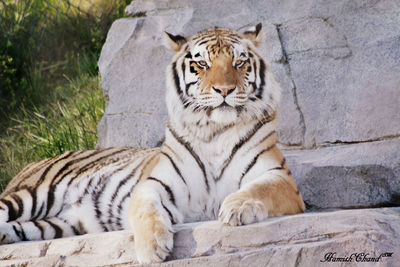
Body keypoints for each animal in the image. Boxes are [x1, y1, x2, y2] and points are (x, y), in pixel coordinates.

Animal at [0, 24, 304, 264]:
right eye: (202, 64)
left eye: (239, 63)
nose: (225, 90)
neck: (215, 132)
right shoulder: (156, 183)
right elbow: (145, 208)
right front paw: (152, 248)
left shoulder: (280, 177)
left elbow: (258, 189)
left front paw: (236, 208)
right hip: (31, 195)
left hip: (56, 224)